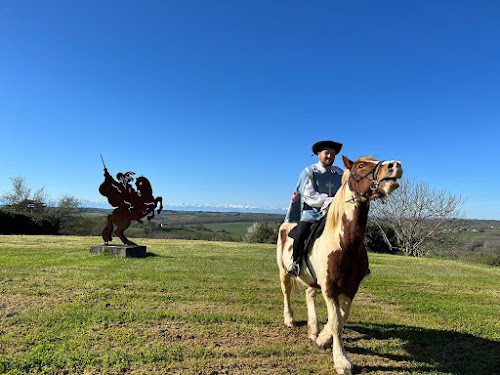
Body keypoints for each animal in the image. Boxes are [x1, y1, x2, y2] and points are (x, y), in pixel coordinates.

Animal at [278, 155, 402, 374]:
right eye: (361, 165)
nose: (395, 166)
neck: (344, 243)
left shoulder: (350, 288)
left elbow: (342, 316)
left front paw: (323, 338)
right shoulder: (329, 288)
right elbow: (336, 322)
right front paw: (341, 361)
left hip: (313, 280)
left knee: (309, 294)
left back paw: (313, 328)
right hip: (284, 272)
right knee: (287, 293)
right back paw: (290, 320)